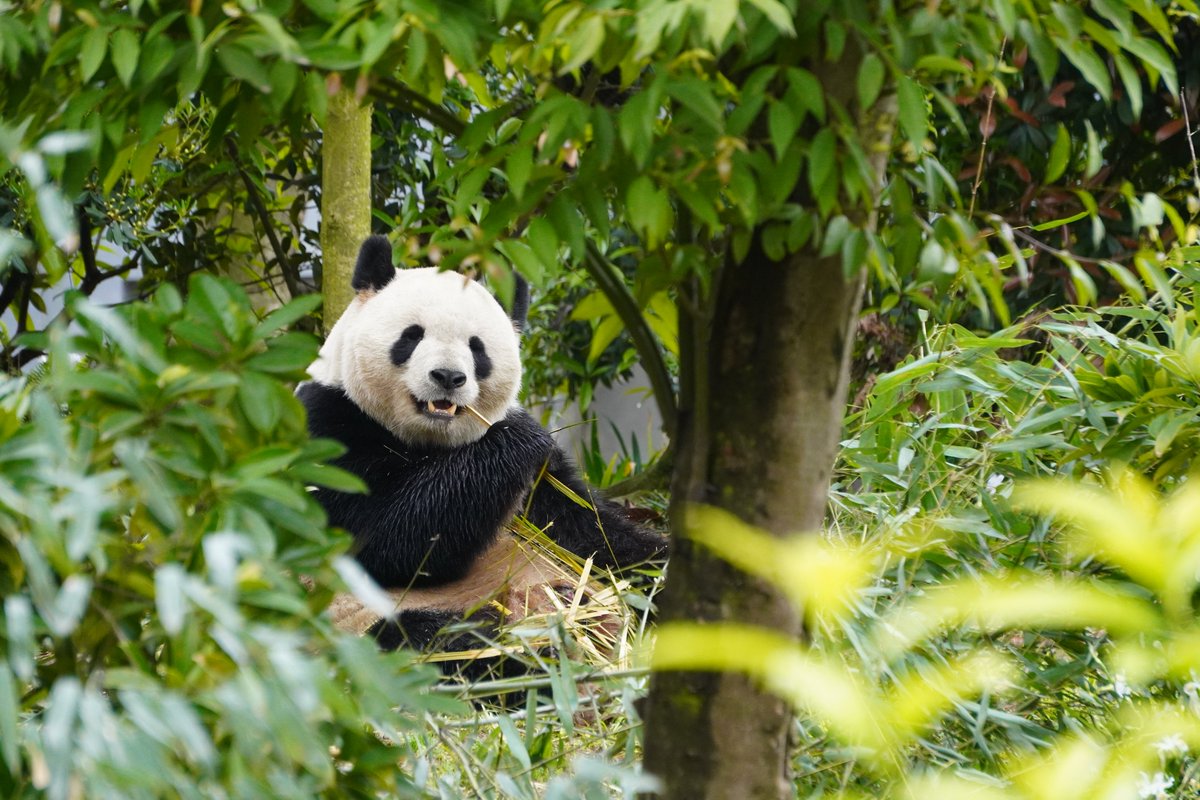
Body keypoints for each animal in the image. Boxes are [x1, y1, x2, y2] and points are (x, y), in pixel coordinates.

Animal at [297, 235, 668, 661]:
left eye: (477, 348)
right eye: (412, 335)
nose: (447, 377)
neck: (429, 442)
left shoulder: (537, 494)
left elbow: (591, 532)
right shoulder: (329, 425)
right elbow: (382, 541)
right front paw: (519, 436)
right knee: (438, 645)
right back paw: (542, 649)